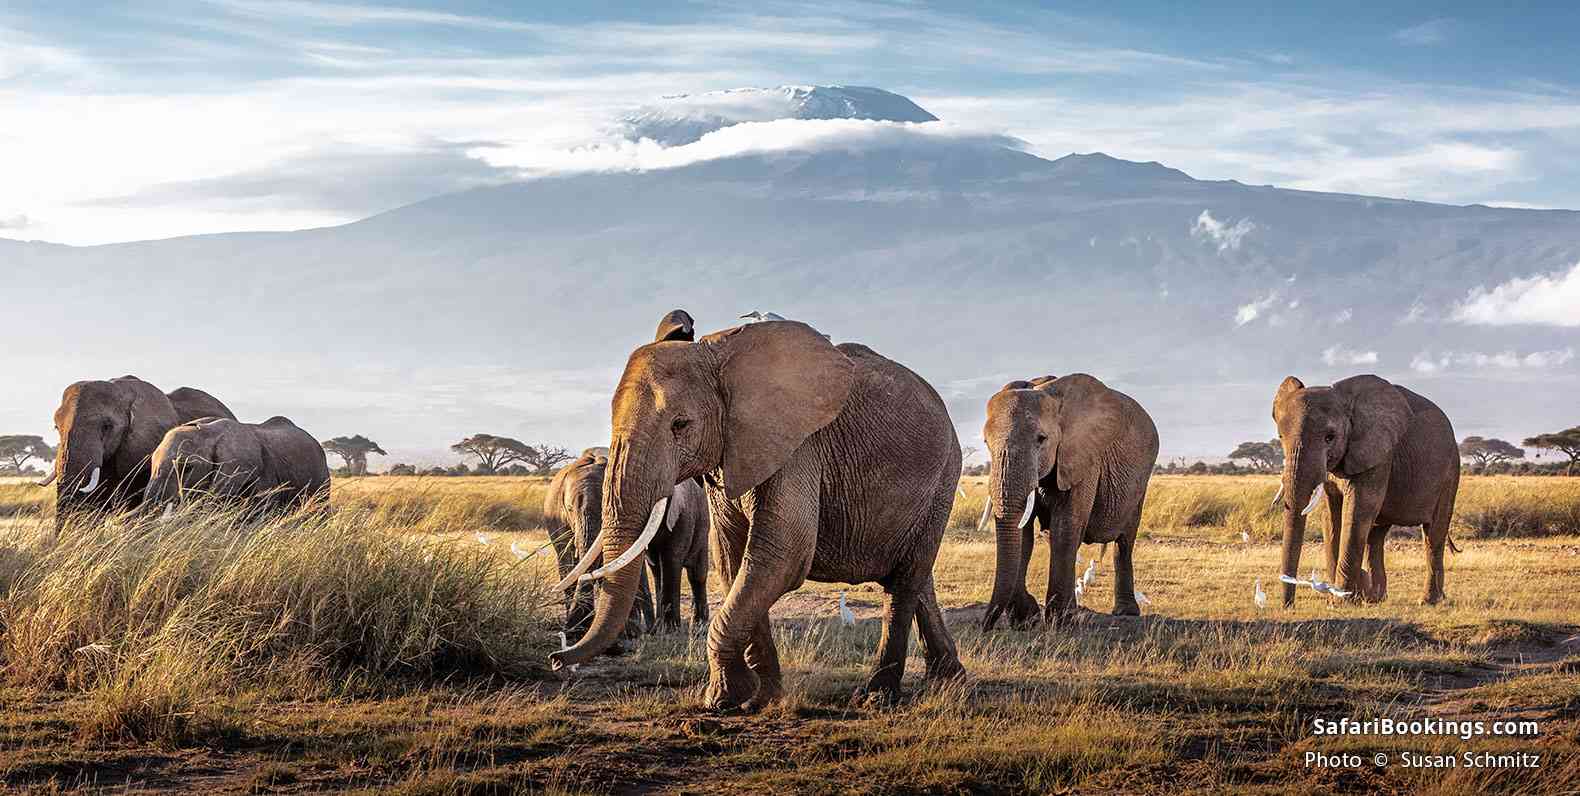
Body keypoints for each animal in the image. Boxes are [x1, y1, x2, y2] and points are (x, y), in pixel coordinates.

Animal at [549, 319, 965, 711]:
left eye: (680, 425)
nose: (556, 658)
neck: (718, 354)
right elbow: (735, 559)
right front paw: (760, 698)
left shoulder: (797, 448)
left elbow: (781, 556)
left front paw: (723, 700)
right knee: (916, 576)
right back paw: (949, 679)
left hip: (945, 475)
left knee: (904, 582)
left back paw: (878, 697)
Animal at [980, 374, 1159, 629]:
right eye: (986, 442)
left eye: (1041, 439)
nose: (985, 626)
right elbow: (1023, 534)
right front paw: (1027, 619)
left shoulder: (1084, 459)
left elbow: (1065, 527)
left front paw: (1061, 620)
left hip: (1141, 481)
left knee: (1125, 542)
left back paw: (1126, 612)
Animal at [1272, 375, 1460, 607]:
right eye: (1280, 437)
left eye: (1330, 437)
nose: (1287, 605)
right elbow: (1331, 516)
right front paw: (1342, 597)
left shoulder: (1379, 455)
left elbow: (1357, 510)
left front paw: (1341, 601)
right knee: (1375, 536)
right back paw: (1375, 598)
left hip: (1450, 473)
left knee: (1433, 535)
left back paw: (1428, 601)